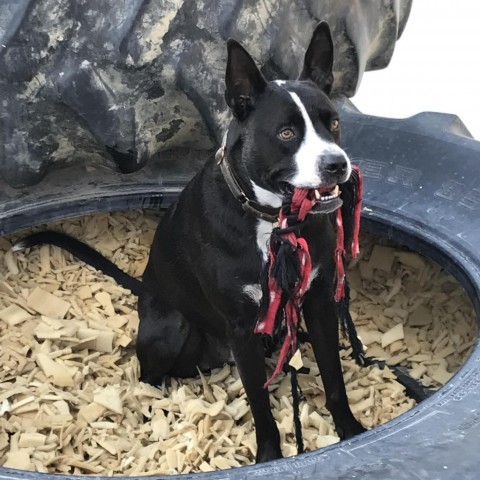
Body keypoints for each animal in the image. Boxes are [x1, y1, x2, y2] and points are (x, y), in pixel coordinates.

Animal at [16, 21, 366, 462]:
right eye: (286, 133)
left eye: (332, 122)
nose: (337, 164)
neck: (271, 220)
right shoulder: (241, 327)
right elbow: (259, 403)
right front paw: (269, 456)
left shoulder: (318, 301)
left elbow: (334, 377)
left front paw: (351, 430)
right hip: (171, 327)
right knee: (148, 375)